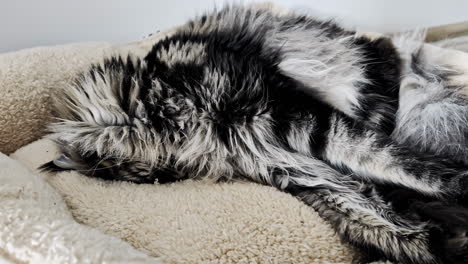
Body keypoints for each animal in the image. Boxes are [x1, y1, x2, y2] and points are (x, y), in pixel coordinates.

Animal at [41, 4, 468, 264]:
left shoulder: (292, 117)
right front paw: (440, 241)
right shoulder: (285, 165)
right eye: (160, 179)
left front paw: (457, 186)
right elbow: (369, 215)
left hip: (363, 86)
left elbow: (397, 163)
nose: (165, 177)